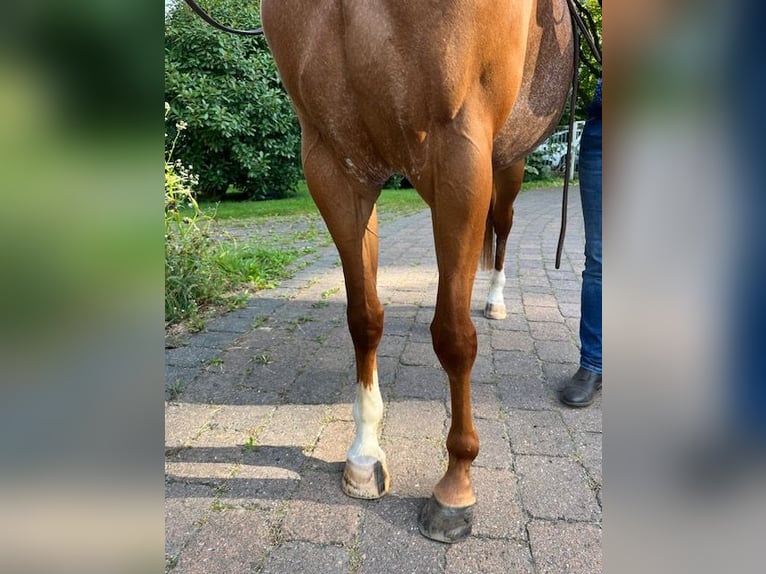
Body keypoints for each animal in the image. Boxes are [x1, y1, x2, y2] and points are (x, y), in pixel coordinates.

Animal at [260, 0, 572, 544]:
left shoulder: (461, 150)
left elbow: (453, 336)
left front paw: (455, 485)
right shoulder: (334, 164)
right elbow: (364, 318)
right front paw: (364, 455)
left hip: (505, 162)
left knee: (502, 230)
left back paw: (495, 300)